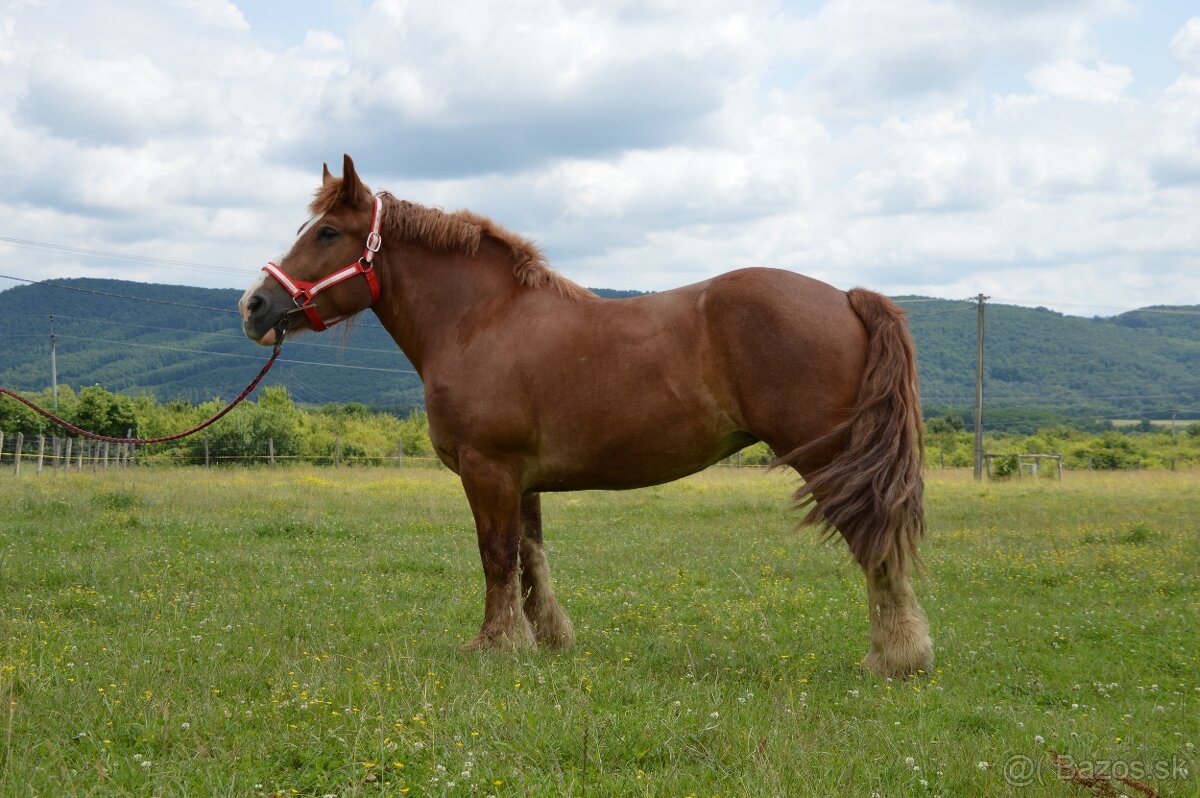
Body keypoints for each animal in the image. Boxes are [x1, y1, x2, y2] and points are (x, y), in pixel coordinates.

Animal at [243, 153, 931, 672]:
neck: (480, 321)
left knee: (873, 541)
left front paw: (495, 644)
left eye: (326, 233)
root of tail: (845, 297)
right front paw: (546, 636)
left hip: (828, 458)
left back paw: (895, 658)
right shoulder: (519, 477)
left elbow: (496, 553)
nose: (254, 306)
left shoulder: (487, 467)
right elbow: (530, 555)